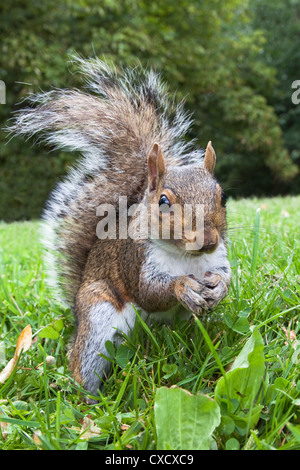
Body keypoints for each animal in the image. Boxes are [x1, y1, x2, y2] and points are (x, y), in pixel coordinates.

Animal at [8, 56, 230, 400]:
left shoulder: (218, 258)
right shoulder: (134, 259)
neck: (186, 258)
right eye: (163, 201)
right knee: (83, 362)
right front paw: (181, 286)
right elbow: (149, 292)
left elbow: (226, 276)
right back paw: (89, 402)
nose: (207, 240)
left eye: (222, 197)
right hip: (97, 320)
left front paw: (218, 287)